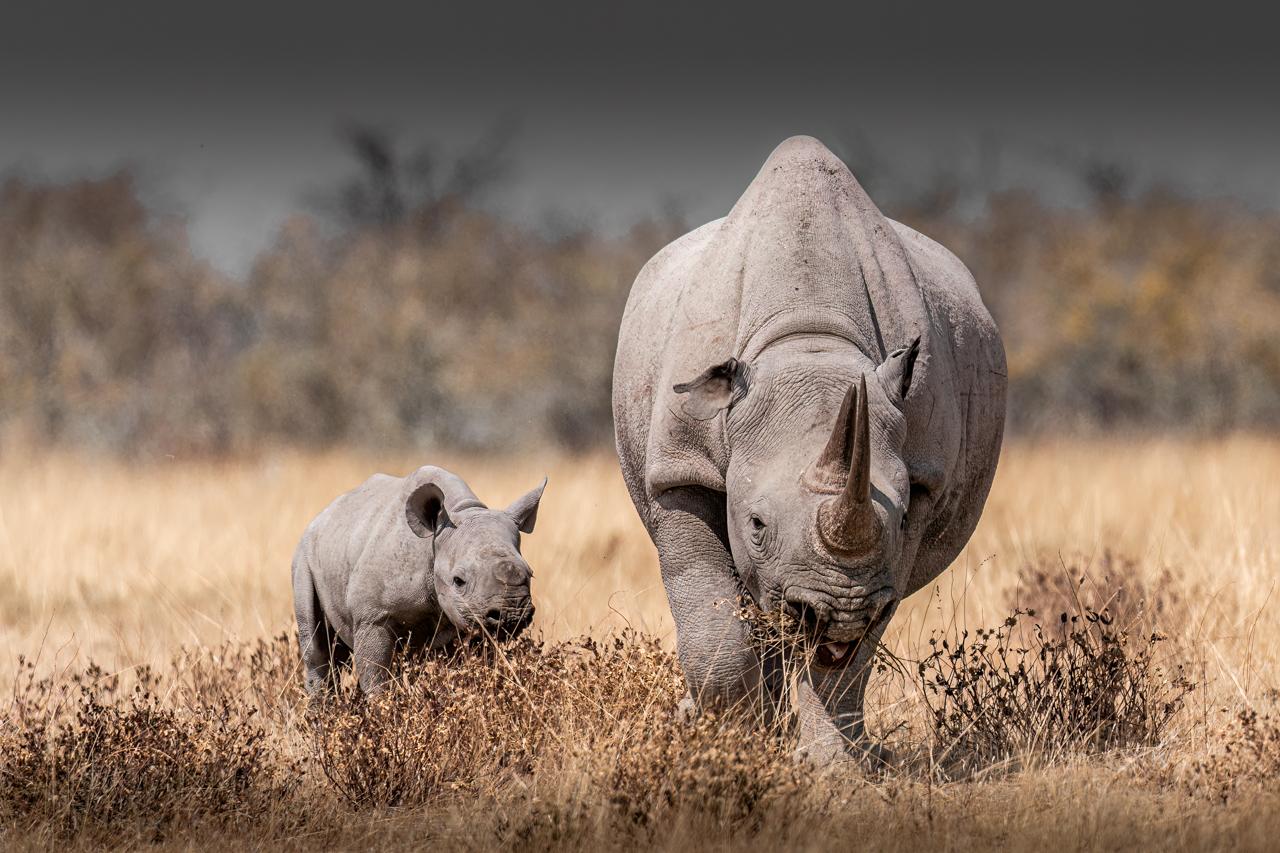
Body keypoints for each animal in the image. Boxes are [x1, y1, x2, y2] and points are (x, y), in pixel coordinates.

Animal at [290, 466, 545, 691]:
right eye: (458, 580)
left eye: (531, 573)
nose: (511, 615)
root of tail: (321, 516)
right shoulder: (373, 616)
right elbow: (376, 676)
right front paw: (383, 708)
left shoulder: (473, 616)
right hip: (303, 554)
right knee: (317, 649)